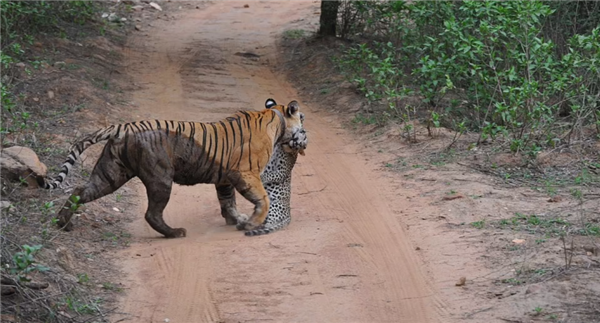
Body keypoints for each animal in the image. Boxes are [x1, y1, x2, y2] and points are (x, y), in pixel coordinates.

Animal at [37, 100, 304, 238]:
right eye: (301, 118)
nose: (304, 133)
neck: (275, 118)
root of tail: (123, 127)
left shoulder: (224, 178)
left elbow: (227, 201)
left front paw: (236, 219)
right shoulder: (246, 173)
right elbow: (263, 199)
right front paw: (249, 224)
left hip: (111, 174)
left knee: (80, 190)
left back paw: (63, 223)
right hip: (160, 179)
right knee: (151, 213)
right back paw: (175, 233)